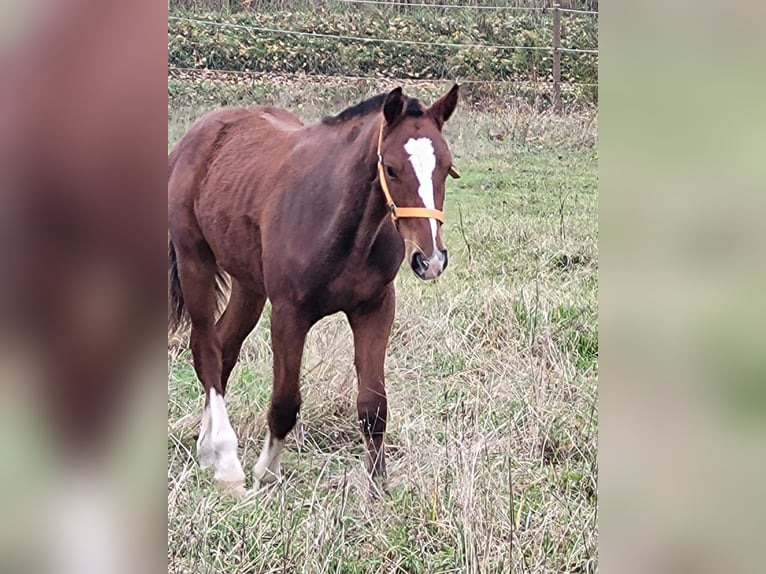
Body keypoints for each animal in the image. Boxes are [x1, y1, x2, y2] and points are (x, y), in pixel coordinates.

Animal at [169, 85, 462, 500]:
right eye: (391, 168)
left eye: (447, 168)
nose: (430, 259)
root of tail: (198, 134)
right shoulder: (288, 314)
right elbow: (285, 402)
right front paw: (266, 473)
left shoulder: (375, 308)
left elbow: (373, 405)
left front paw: (378, 489)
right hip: (194, 261)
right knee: (207, 350)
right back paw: (226, 462)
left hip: (248, 284)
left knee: (224, 348)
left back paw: (207, 449)